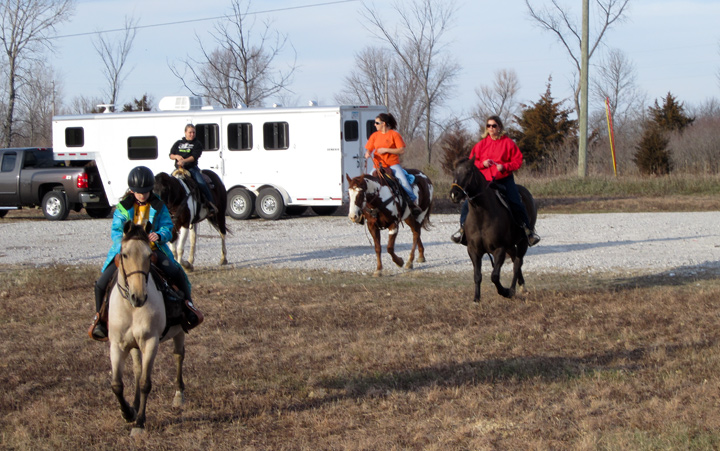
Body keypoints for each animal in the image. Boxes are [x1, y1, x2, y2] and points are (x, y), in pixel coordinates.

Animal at [107, 221, 186, 436]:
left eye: (148, 255)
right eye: (124, 254)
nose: (139, 297)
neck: (131, 308)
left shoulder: (151, 343)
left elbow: (145, 383)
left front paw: (140, 422)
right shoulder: (116, 345)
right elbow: (117, 384)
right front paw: (127, 413)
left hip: (179, 332)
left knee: (178, 356)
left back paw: (178, 395)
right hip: (133, 345)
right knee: (136, 369)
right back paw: (134, 405)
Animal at [449, 158, 537, 303]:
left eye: (468, 172)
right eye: (454, 172)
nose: (454, 194)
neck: (482, 215)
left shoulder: (499, 249)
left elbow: (494, 276)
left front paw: (505, 292)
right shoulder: (473, 250)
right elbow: (477, 275)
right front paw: (476, 298)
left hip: (523, 242)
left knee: (517, 263)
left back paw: (513, 289)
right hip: (510, 246)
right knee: (515, 259)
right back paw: (521, 286)